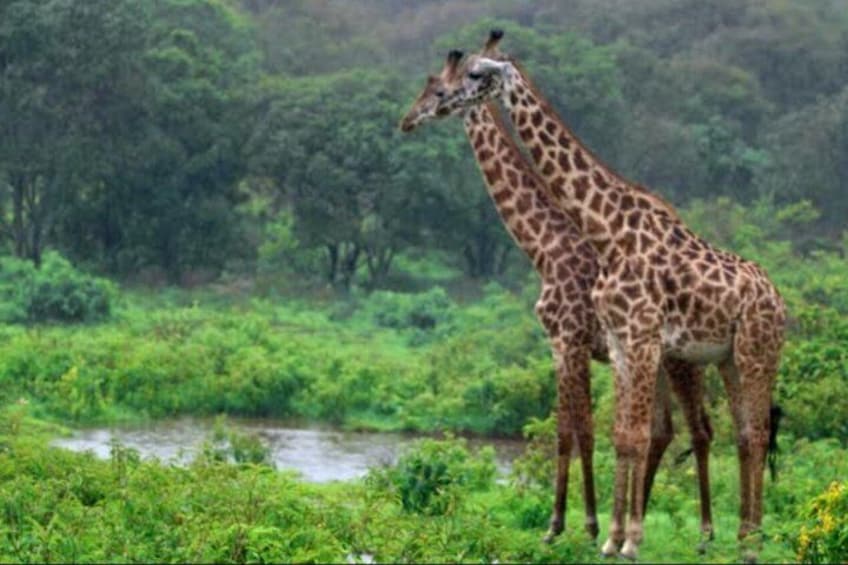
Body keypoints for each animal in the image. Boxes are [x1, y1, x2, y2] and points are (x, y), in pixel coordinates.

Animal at [429, 31, 786, 560]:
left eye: (474, 73)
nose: (432, 105)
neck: (607, 232)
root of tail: (780, 301)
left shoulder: (616, 339)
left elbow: (613, 433)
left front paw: (614, 536)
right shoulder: (619, 345)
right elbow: (621, 435)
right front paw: (613, 537)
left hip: (751, 353)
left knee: (751, 432)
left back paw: (743, 542)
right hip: (726, 358)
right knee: (741, 434)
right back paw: (742, 535)